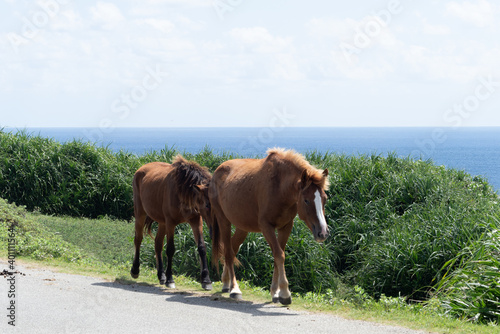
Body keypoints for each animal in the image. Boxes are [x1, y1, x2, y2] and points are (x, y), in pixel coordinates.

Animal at [130, 156, 212, 290]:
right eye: (207, 205)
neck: (182, 191)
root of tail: (141, 169)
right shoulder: (170, 223)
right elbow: (170, 249)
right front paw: (170, 279)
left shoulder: (196, 221)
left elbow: (202, 247)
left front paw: (206, 280)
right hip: (140, 214)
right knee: (138, 239)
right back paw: (135, 270)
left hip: (162, 222)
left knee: (158, 243)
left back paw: (161, 275)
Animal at [209, 147, 330, 304]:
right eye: (306, 200)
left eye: (325, 199)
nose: (323, 232)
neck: (279, 187)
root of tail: (217, 172)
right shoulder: (267, 227)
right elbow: (279, 255)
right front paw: (284, 293)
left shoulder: (285, 227)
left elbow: (278, 255)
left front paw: (275, 292)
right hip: (223, 220)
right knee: (229, 253)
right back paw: (234, 288)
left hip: (242, 227)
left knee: (233, 248)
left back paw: (225, 283)